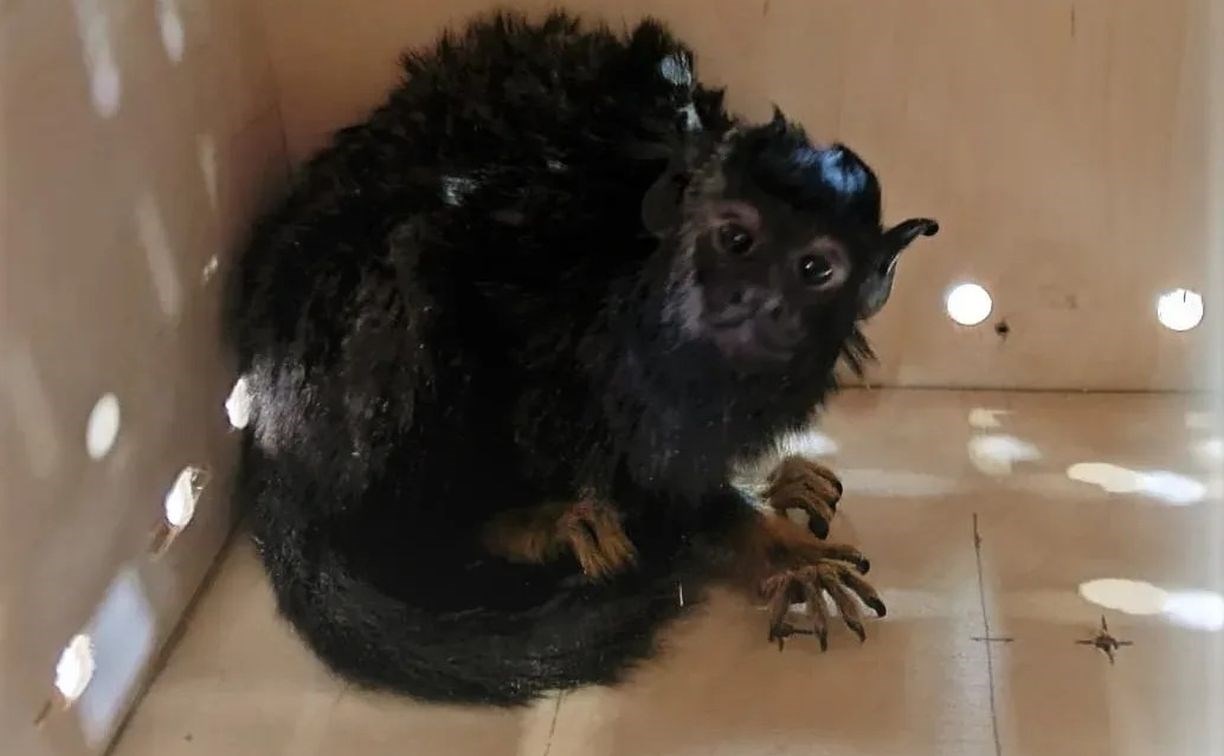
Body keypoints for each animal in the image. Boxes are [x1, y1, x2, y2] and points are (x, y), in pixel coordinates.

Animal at [226, 11, 938, 706]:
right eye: (737, 239)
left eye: (814, 269)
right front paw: (776, 547)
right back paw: (522, 529)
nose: (754, 299)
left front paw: (763, 486)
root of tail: (271, 428)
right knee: (413, 267)